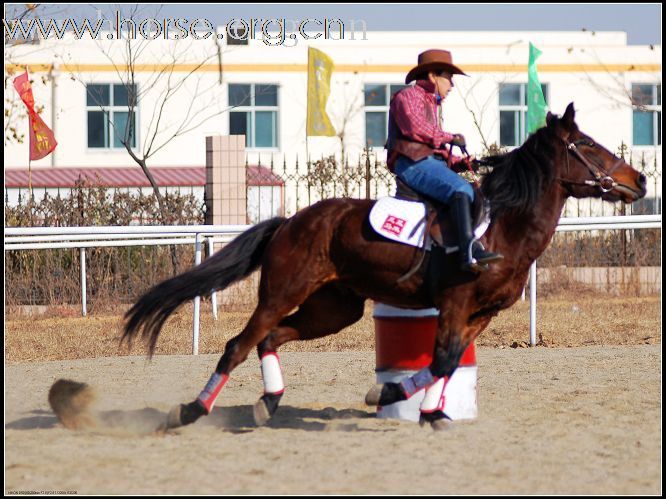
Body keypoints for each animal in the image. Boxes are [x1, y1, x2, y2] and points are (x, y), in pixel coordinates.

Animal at [119, 103, 644, 432]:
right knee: (238, 345)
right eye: (587, 145)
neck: (503, 227)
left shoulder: (482, 314)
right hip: (281, 294)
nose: (638, 179)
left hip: (334, 310)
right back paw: (191, 410)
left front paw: (417, 408)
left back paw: (269, 402)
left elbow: (444, 363)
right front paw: (397, 400)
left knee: (270, 339)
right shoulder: (455, 303)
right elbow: (442, 360)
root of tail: (292, 220)